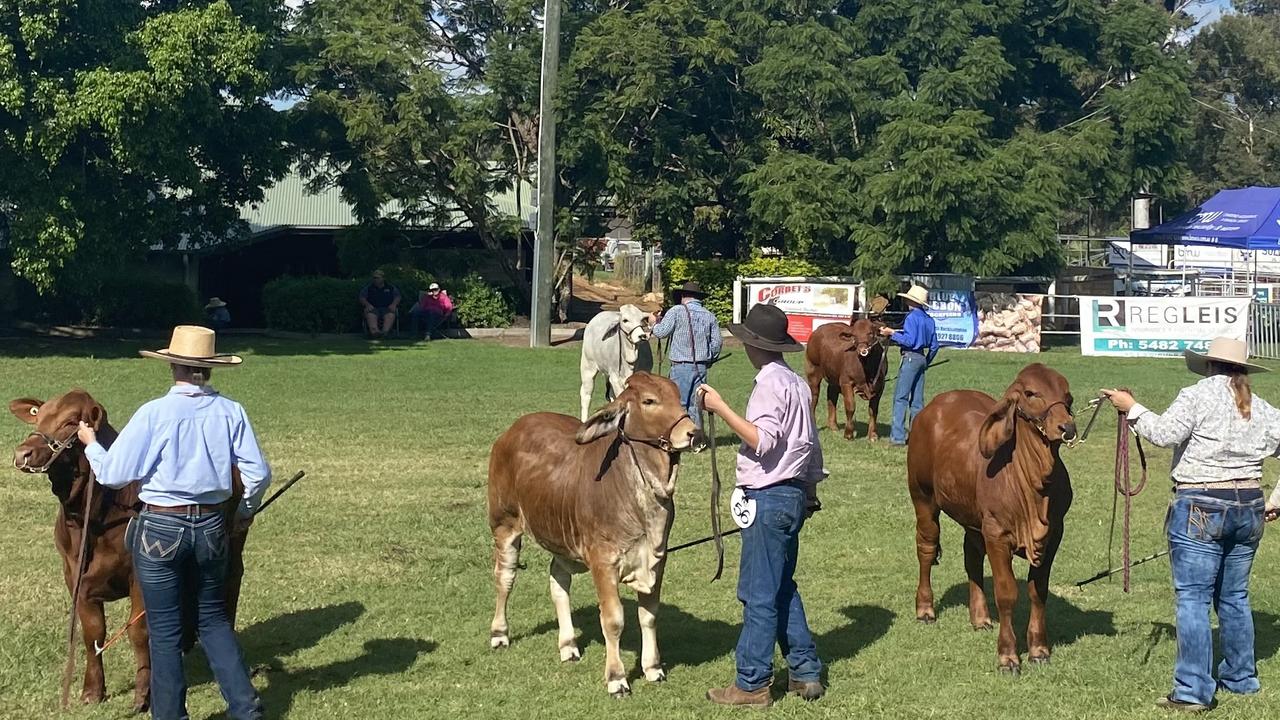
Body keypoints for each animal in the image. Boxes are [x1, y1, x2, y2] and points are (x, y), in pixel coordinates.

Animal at [486, 368, 706, 696]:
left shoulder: (657, 558)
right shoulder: (603, 561)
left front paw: (652, 667)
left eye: (678, 396)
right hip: (505, 524)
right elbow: (613, 620)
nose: (694, 433)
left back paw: (568, 644)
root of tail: (513, 430)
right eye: (649, 401)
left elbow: (649, 616)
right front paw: (616, 678)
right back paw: (500, 633)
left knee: (558, 581)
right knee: (505, 577)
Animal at [906, 363, 1075, 671]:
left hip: (972, 518)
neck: (1034, 483)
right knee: (926, 547)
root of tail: (935, 405)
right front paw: (1008, 655)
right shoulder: (997, 533)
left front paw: (1039, 650)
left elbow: (1038, 591)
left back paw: (980, 617)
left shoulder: (1054, 533)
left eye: (1067, 396)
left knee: (972, 558)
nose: (1067, 428)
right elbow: (1006, 593)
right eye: (1031, 393)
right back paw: (925, 609)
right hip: (922, 497)